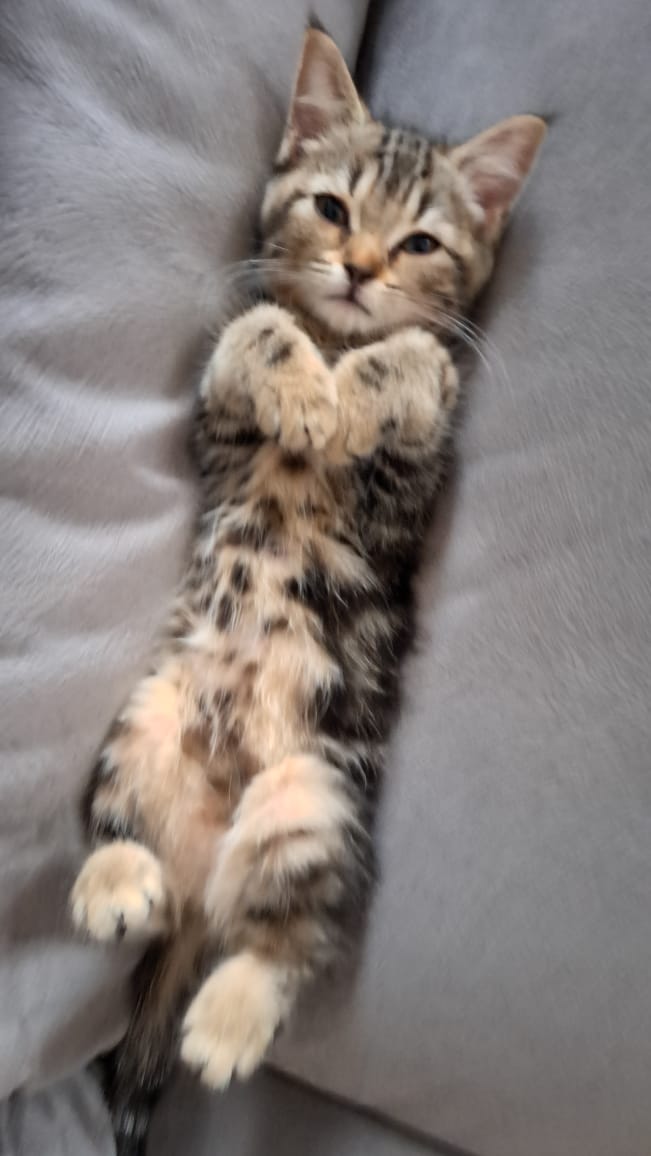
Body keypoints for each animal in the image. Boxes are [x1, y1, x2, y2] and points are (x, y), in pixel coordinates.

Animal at [70, 26, 545, 1156]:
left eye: (419, 244)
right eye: (330, 209)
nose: (360, 269)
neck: (338, 337)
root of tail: (203, 873)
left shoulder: (406, 496)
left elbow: (421, 357)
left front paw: (358, 387)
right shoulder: (215, 432)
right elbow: (249, 332)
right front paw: (299, 384)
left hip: (314, 795)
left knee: (288, 942)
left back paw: (226, 1022)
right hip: (145, 723)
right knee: (118, 831)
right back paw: (117, 886)